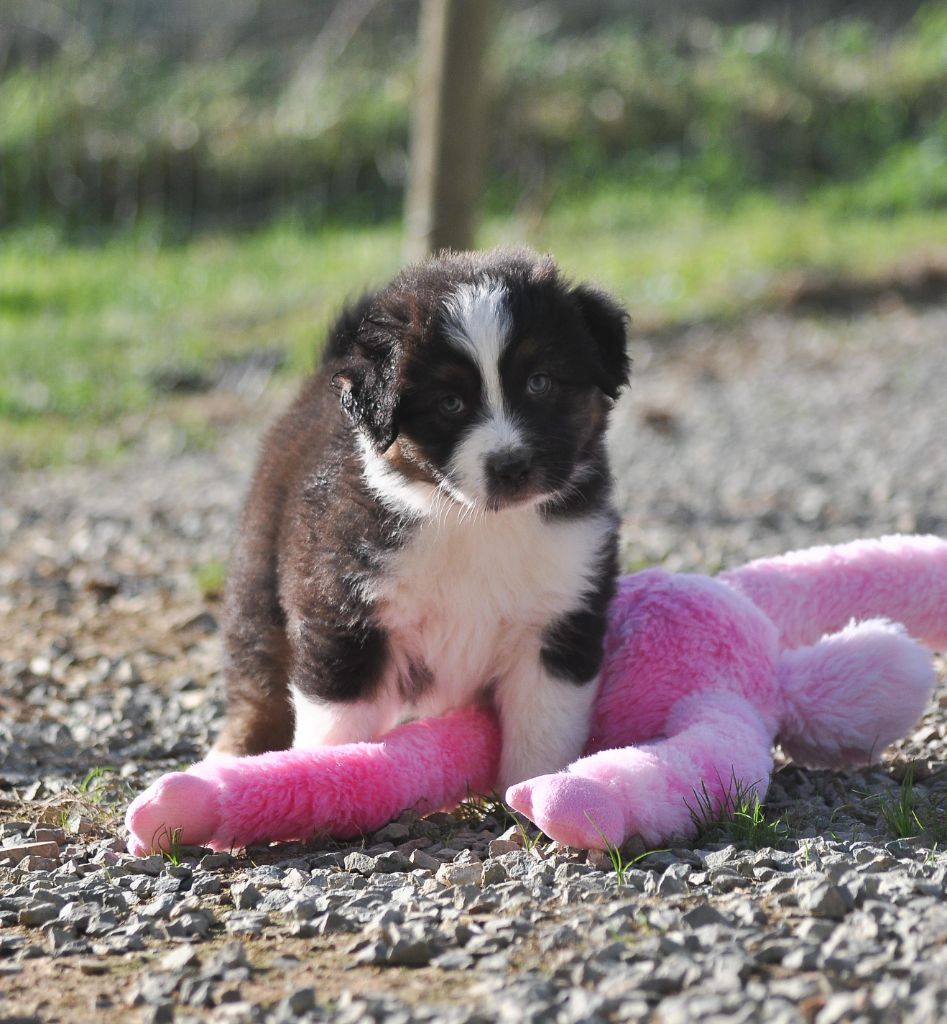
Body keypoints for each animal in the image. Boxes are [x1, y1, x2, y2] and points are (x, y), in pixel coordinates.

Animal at [213, 247, 626, 790]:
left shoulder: (560, 621)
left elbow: (542, 733)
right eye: (450, 403)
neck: (473, 522)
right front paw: (324, 776)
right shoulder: (343, 615)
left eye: (540, 383)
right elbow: (337, 729)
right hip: (259, 580)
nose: (511, 467)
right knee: (257, 682)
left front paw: (535, 793)